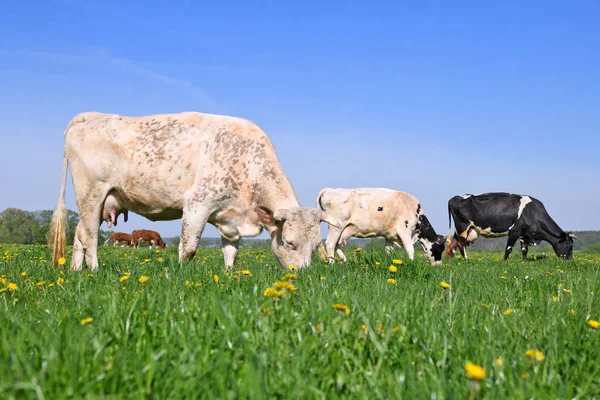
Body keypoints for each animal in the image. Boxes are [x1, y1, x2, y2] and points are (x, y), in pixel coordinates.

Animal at [46, 111, 338, 270]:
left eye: (315, 246)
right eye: (289, 242)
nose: (300, 275)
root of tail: (93, 116)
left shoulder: (228, 217)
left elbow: (231, 252)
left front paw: (229, 277)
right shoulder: (198, 205)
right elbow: (188, 248)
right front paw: (179, 274)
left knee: (79, 234)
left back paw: (76, 272)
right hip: (91, 193)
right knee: (90, 237)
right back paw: (94, 270)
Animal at [316, 188, 448, 266]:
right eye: (440, 249)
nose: (439, 266)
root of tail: (329, 189)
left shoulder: (389, 235)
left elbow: (388, 250)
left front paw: (391, 263)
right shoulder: (404, 230)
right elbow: (410, 249)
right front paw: (411, 263)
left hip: (343, 229)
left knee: (337, 244)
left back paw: (344, 260)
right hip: (336, 226)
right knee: (330, 243)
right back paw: (332, 264)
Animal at [446, 193, 576, 260]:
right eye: (569, 246)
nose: (570, 260)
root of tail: (453, 198)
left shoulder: (524, 234)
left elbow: (524, 250)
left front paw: (525, 262)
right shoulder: (514, 231)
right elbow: (508, 249)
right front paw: (503, 262)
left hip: (462, 229)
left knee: (454, 244)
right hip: (463, 226)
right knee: (461, 244)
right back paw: (467, 260)